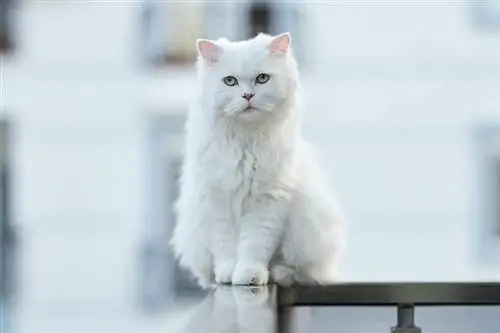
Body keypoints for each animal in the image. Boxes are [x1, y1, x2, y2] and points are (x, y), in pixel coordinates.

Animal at [170, 31, 346, 286]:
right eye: (230, 81)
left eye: (262, 78)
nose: (248, 95)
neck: (246, 140)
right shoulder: (216, 201)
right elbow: (226, 247)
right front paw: (228, 274)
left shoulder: (267, 201)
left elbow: (254, 245)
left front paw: (249, 276)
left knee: (299, 270)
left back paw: (278, 274)